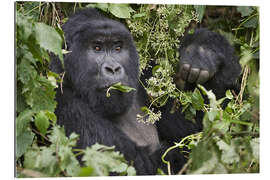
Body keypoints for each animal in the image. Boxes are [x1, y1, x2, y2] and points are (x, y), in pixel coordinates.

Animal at [49, 7, 242, 175]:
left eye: (118, 47)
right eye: (97, 48)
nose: (113, 68)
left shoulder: (146, 81)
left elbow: (202, 128)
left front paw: (204, 50)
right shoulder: (67, 105)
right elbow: (141, 165)